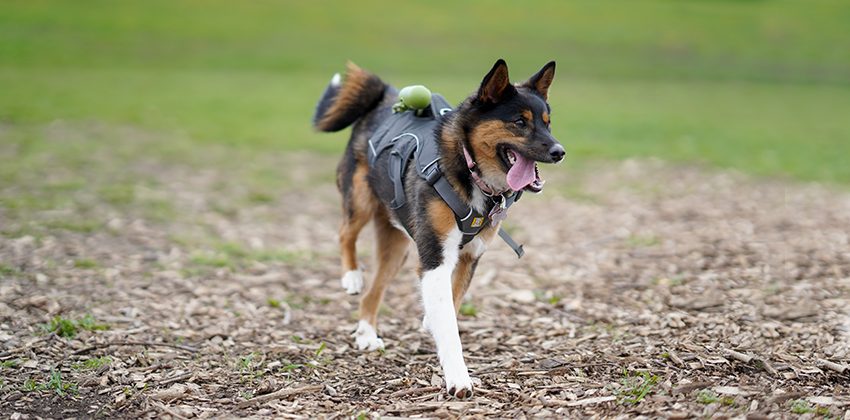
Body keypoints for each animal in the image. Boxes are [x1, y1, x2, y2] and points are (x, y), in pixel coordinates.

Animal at [312, 59, 564, 398]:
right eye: (519, 122)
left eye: (548, 123)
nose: (559, 151)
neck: (471, 174)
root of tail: (385, 96)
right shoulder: (435, 260)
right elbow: (449, 325)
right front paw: (458, 378)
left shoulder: (469, 256)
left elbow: (452, 307)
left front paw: (432, 324)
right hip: (360, 202)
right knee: (344, 234)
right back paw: (351, 276)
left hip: (397, 249)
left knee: (371, 294)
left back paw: (366, 335)